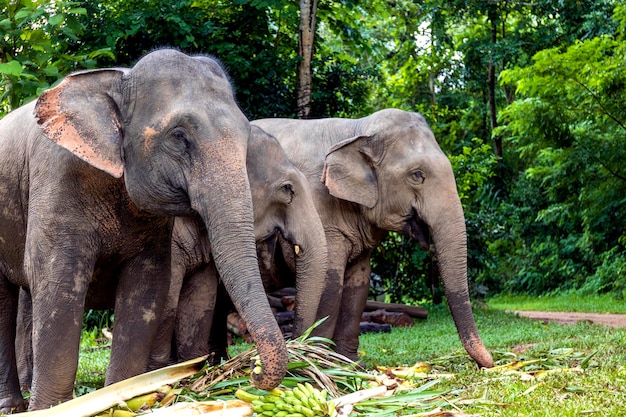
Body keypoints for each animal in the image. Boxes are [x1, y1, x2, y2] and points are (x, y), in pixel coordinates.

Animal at [0, 48, 286, 410]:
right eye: (179, 136)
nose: (254, 371)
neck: (119, 79)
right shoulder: (58, 177)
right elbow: (58, 282)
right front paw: (54, 410)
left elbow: (147, 288)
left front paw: (122, 399)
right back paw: (12, 406)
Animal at [252, 109, 492, 368]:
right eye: (417, 175)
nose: (489, 363)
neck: (356, 129)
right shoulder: (316, 207)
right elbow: (328, 283)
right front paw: (318, 363)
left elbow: (359, 284)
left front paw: (351, 365)